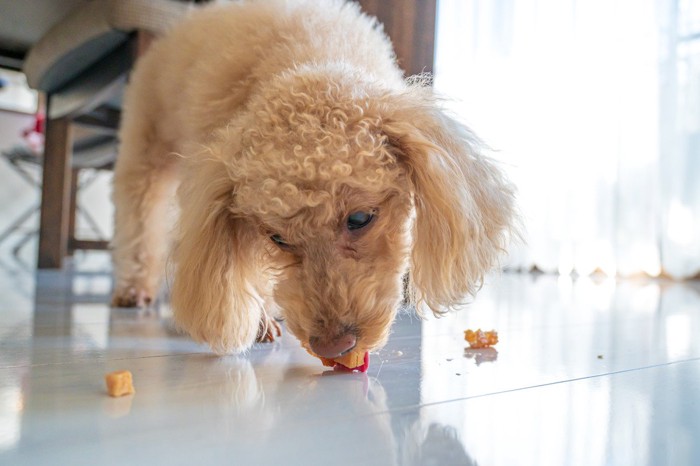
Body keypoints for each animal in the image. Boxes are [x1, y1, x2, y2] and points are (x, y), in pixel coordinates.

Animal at [109, 0, 516, 356]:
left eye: (360, 218)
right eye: (277, 238)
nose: (333, 347)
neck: (309, 57)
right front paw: (259, 320)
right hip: (146, 148)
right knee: (140, 218)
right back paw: (134, 288)